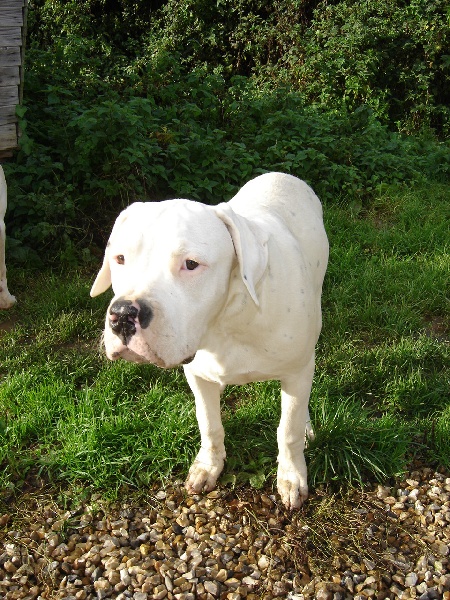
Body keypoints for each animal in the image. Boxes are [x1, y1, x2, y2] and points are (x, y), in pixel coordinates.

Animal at [92, 171, 330, 508]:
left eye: (191, 264)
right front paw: (208, 466)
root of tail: (281, 174)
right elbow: (209, 424)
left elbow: (289, 429)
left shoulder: (296, 369)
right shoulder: (198, 375)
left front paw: (292, 476)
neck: (227, 320)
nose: (123, 314)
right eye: (120, 258)